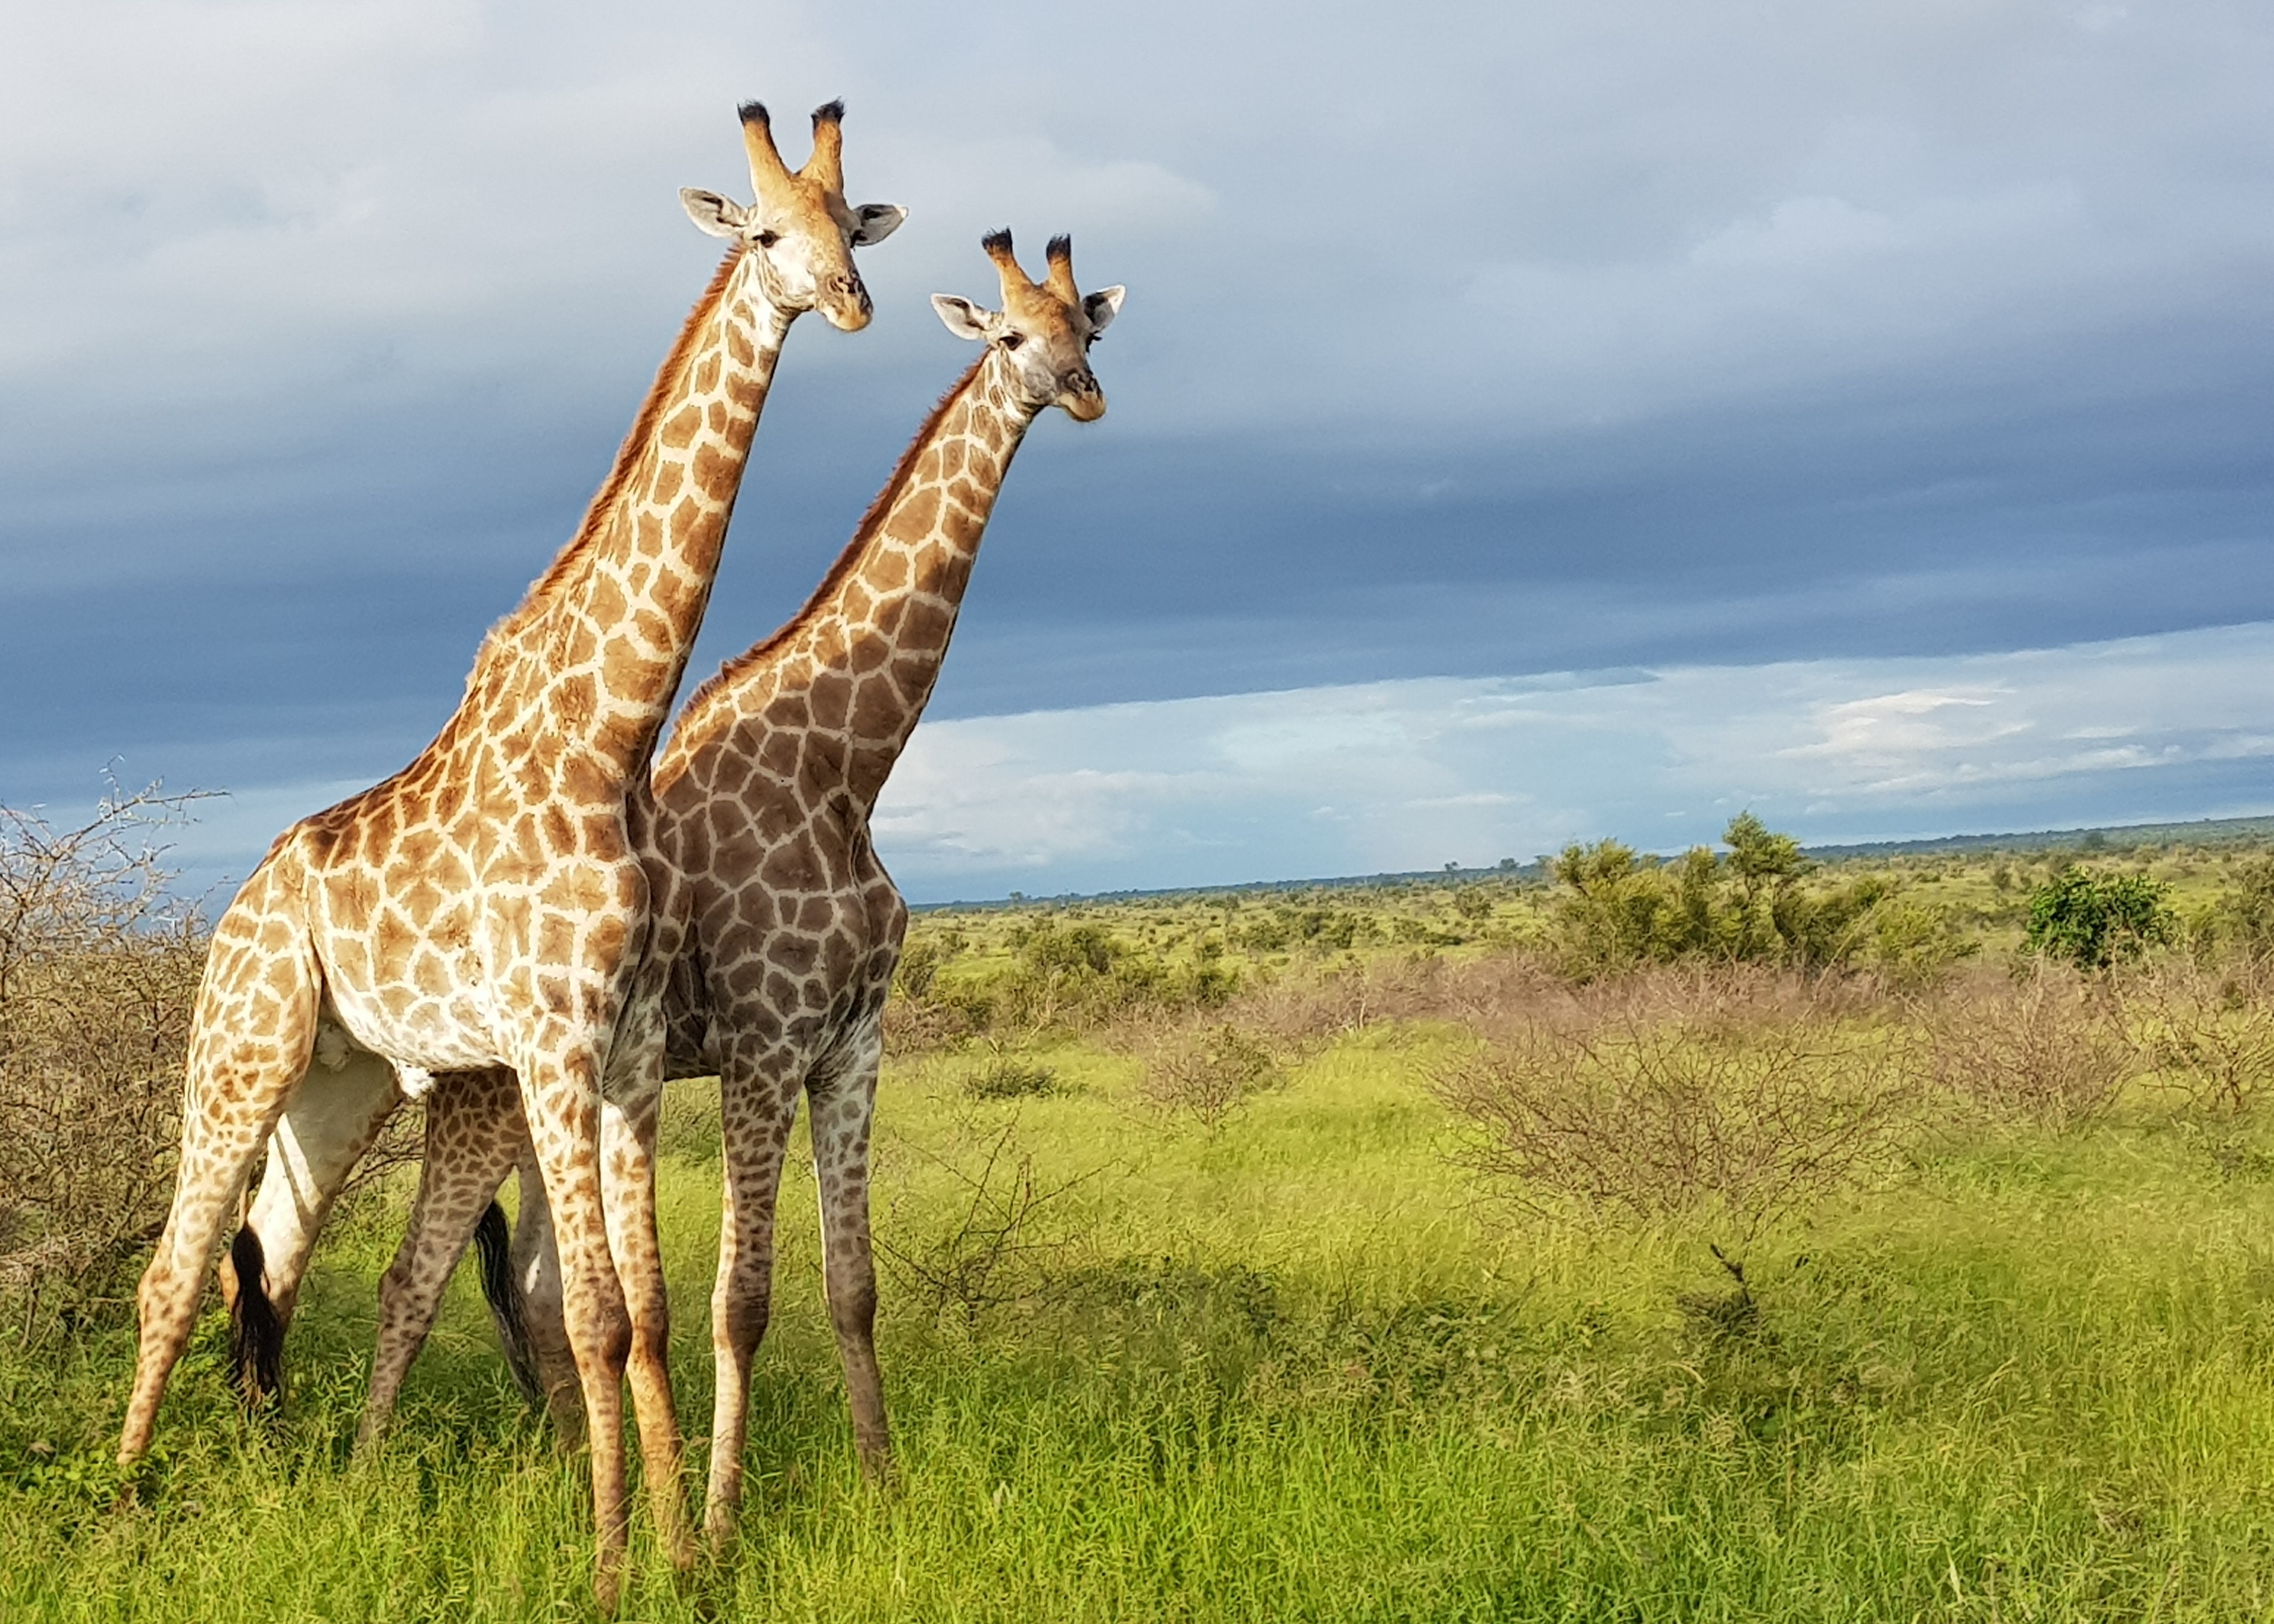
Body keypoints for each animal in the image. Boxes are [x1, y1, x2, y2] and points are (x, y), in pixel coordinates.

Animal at [117, 100, 903, 1608]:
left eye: (853, 225)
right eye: (766, 236)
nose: (848, 302)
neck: (612, 730)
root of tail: (235, 908)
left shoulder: (623, 1040)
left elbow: (631, 1313)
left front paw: (679, 1555)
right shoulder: (552, 1035)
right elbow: (593, 1314)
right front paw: (612, 1572)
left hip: (340, 1082)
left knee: (272, 1262)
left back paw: (277, 1474)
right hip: (241, 1050)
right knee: (174, 1269)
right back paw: (122, 1496)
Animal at [344, 229, 1123, 1543]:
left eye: (1089, 328)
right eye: (1013, 335)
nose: (1080, 392)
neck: (844, 766)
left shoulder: (853, 1041)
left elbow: (852, 1286)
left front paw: (881, 1489)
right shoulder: (767, 1042)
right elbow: (742, 1301)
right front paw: (716, 1524)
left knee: (542, 1290)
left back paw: (569, 1478)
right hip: (496, 1095)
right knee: (427, 1274)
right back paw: (374, 1481)